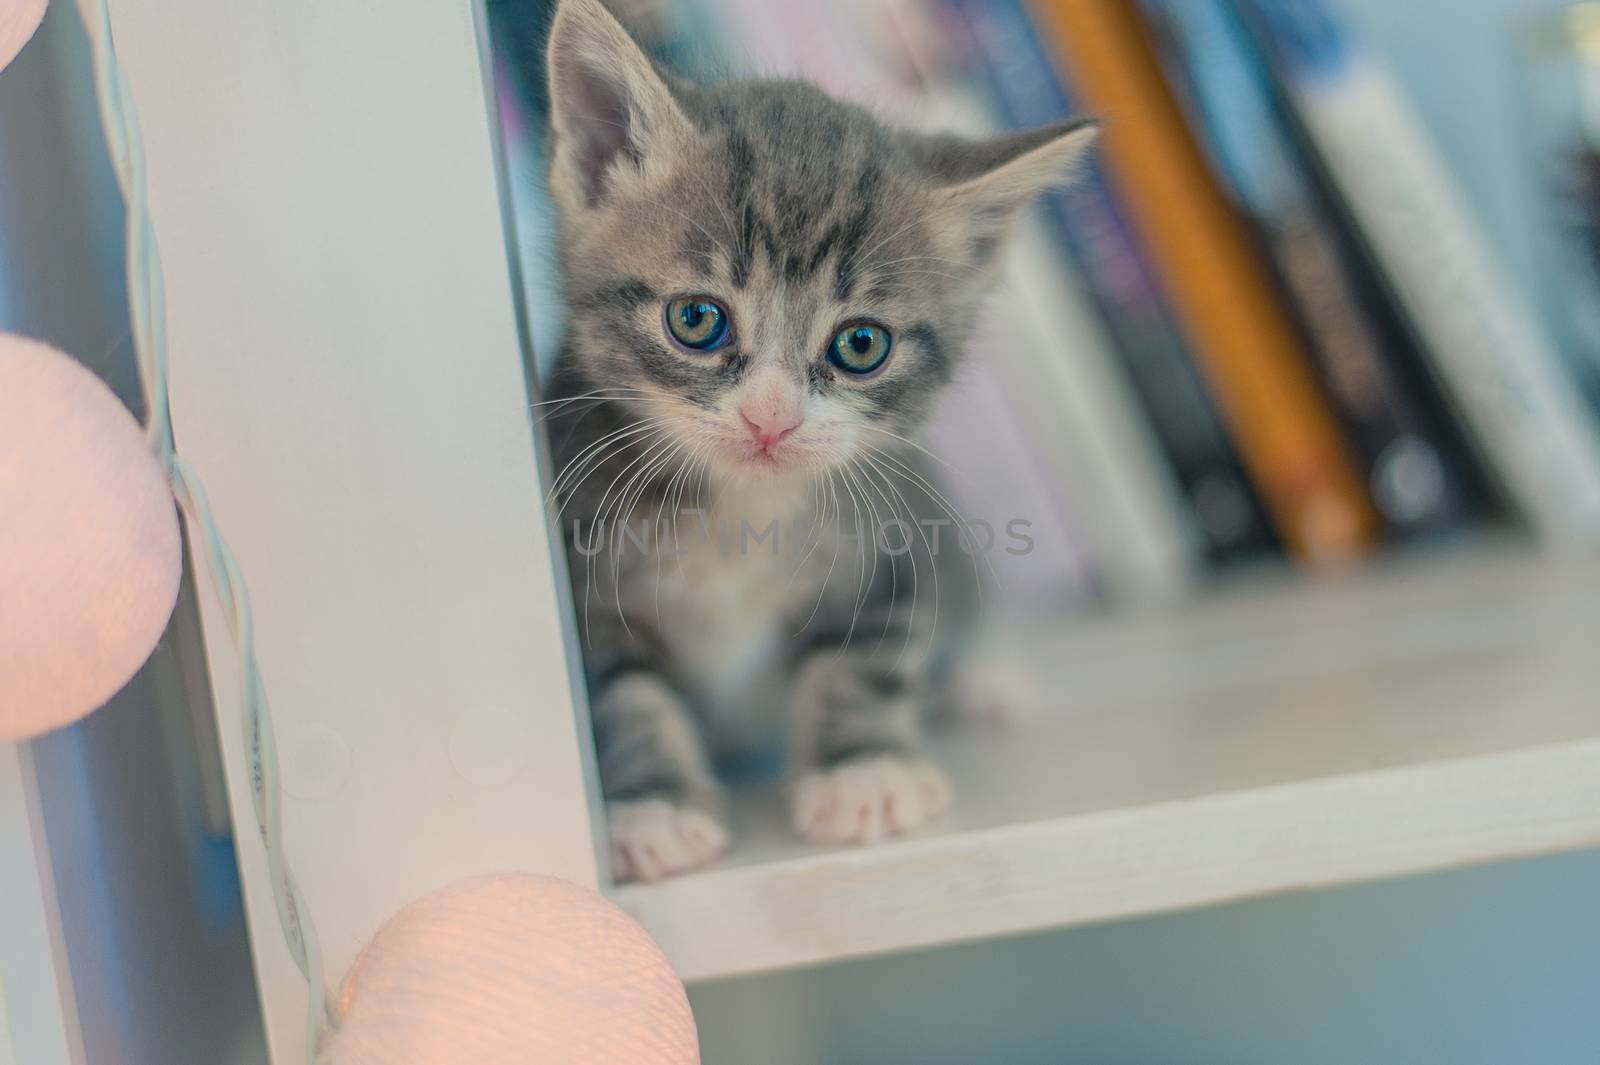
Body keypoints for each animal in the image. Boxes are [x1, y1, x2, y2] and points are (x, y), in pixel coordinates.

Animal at [544, 0, 1094, 876]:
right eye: (696, 319)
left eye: (860, 344)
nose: (771, 417)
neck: (738, 513)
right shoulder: (582, 577)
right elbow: (620, 694)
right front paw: (655, 805)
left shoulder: (894, 536)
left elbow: (864, 656)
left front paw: (863, 773)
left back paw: (987, 676)